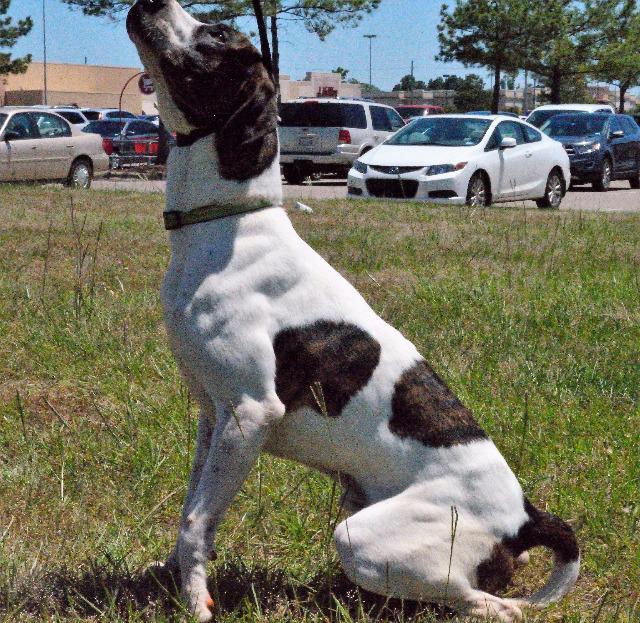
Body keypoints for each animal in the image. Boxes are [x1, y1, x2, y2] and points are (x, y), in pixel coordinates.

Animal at [126, 2, 580, 620]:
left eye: (217, 33)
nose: (149, 3)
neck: (229, 227)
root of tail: (525, 516)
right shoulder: (212, 416)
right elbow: (192, 508)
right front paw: (172, 577)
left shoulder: (249, 414)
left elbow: (197, 522)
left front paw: (195, 601)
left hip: (358, 539)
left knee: (488, 603)